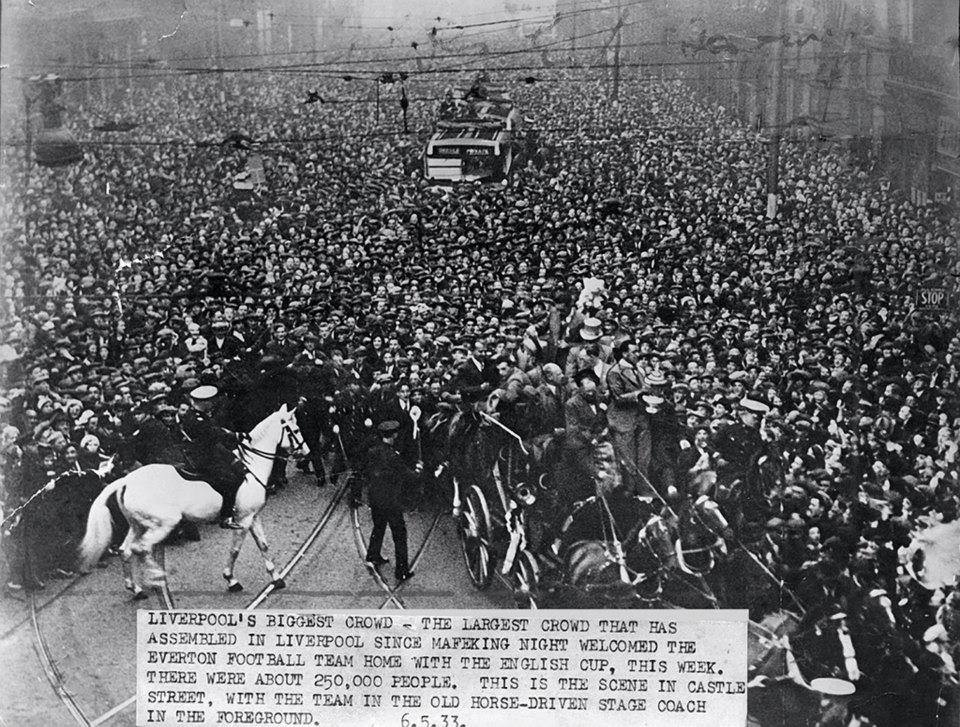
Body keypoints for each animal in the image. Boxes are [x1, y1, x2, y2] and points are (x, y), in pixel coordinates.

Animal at [79, 404, 306, 596]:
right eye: (294, 429)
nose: (306, 451)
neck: (250, 466)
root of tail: (126, 480)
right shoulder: (243, 520)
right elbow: (235, 551)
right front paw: (231, 579)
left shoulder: (253, 516)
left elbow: (263, 545)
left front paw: (276, 578)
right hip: (163, 524)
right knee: (140, 549)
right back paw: (156, 578)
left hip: (137, 525)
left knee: (126, 551)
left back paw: (136, 588)